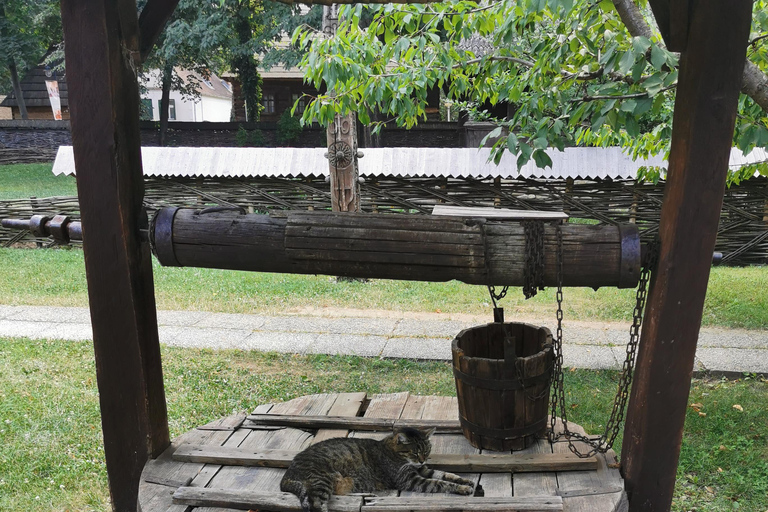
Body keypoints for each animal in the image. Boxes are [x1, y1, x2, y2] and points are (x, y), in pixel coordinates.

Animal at [280, 424, 484, 512]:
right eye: (415, 452)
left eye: (427, 450)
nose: (421, 460)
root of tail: (287, 474)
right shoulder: (411, 480)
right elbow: (440, 483)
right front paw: (462, 488)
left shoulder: (422, 470)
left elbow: (446, 474)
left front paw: (465, 480)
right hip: (321, 482)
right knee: (316, 505)